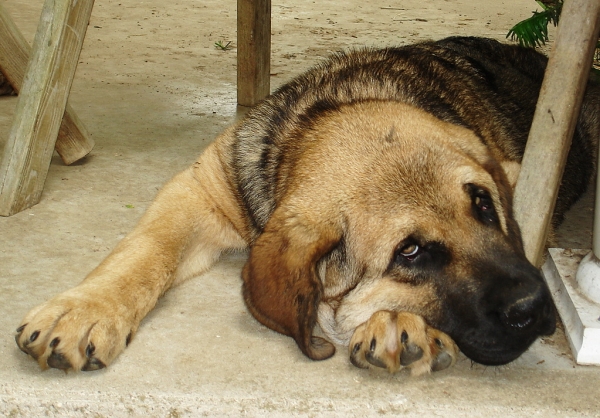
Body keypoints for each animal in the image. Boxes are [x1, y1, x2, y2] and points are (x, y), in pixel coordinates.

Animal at [15, 36, 600, 376]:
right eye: (410, 252)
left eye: (482, 204)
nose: (535, 305)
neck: (326, 114)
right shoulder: (200, 189)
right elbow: (141, 252)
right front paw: (85, 310)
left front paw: (399, 321)